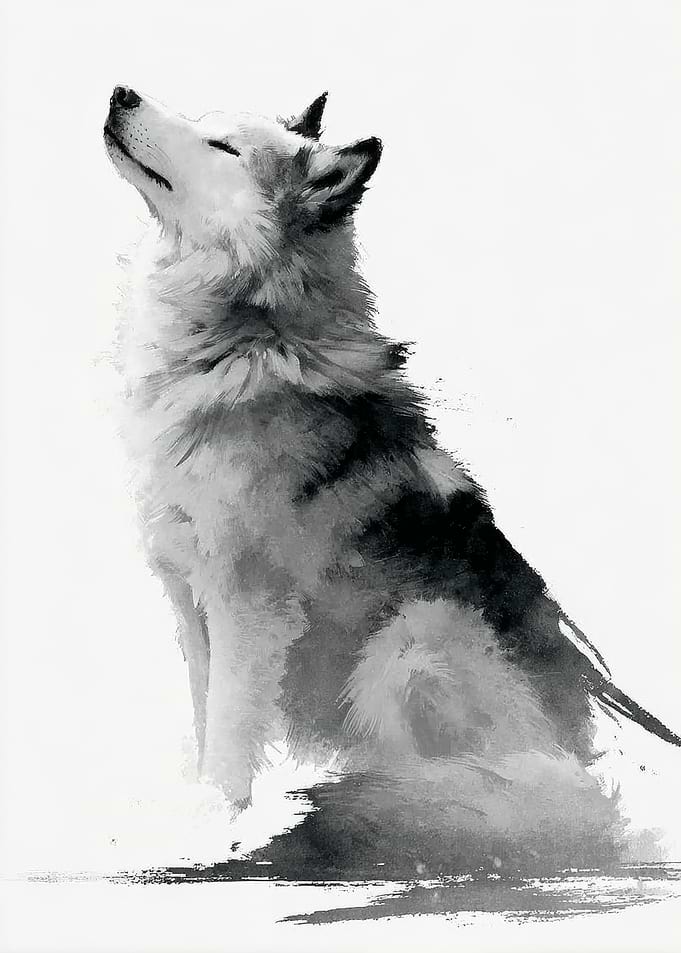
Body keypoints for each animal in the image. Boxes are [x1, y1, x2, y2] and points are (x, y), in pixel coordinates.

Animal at [105, 85, 679, 875]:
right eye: (203, 124)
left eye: (221, 147)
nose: (120, 93)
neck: (249, 336)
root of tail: (585, 791)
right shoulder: (191, 605)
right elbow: (208, 731)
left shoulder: (246, 608)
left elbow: (227, 745)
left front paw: (217, 833)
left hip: (412, 637)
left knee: (457, 791)